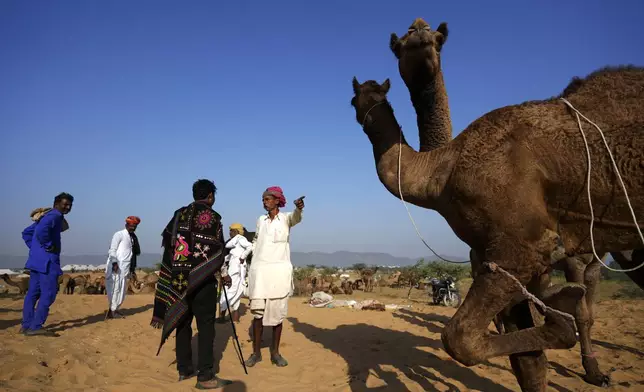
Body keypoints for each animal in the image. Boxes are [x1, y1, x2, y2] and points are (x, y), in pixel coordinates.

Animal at [352, 19, 644, 392]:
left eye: (438, 38)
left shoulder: (521, 246)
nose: (419, 34)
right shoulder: (501, 256)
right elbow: (529, 362)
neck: (441, 171)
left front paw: (562, 321)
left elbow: (460, 339)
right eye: (402, 44)